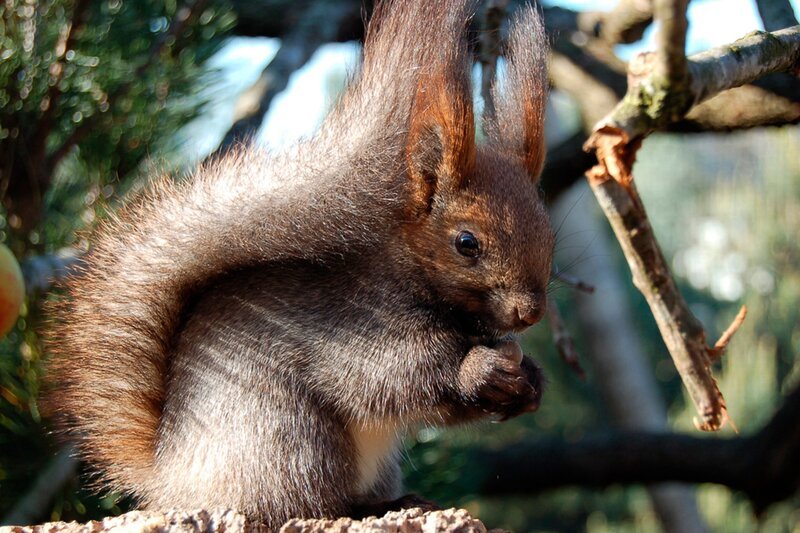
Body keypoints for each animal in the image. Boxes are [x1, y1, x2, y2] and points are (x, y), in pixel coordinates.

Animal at [44, 0, 553, 529]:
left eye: (548, 230)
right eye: (466, 243)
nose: (530, 312)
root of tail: (175, 478)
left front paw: (530, 381)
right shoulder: (353, 327)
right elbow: (390, 377)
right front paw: (480, 369)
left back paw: (397, 501)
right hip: (291, 440)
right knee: (304, 503)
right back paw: (362, 507)